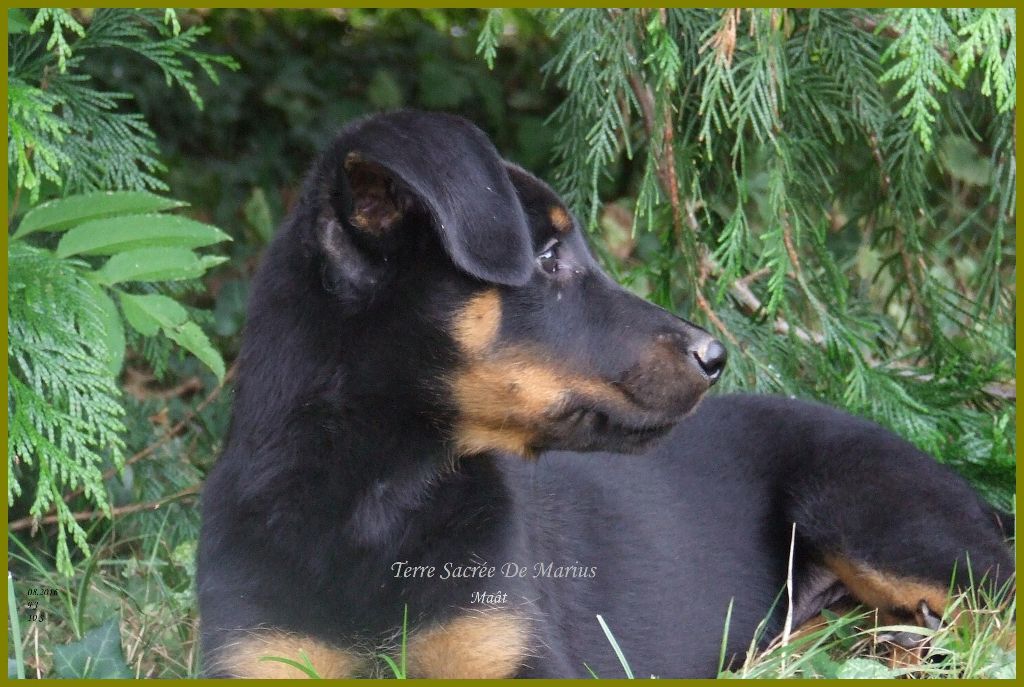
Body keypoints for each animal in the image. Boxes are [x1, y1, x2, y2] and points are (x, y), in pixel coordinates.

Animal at [195, 111, 1011, 675]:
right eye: (549, 257)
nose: (716, 355)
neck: (380, 499)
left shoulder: (518, 650)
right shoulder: (259, 652)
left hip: (873, 509)